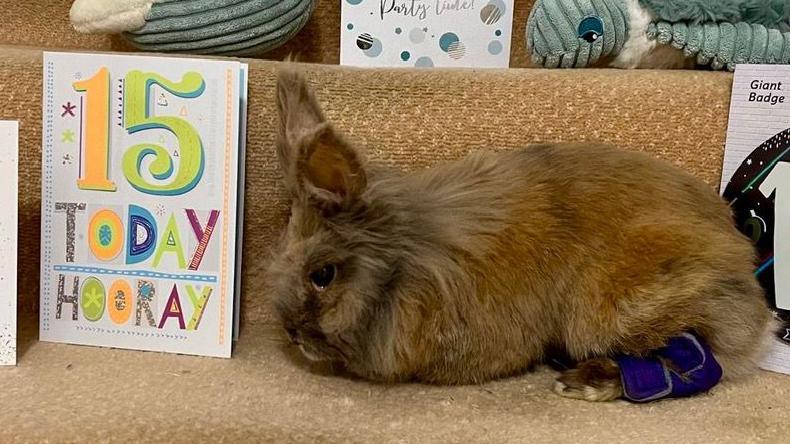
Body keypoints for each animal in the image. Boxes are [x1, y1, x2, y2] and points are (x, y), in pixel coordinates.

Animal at [265, 68, 773, 402]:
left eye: (323, 275)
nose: (292, 335)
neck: (405, 262)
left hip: (618, 305)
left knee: (696, 355)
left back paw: (587, 381)